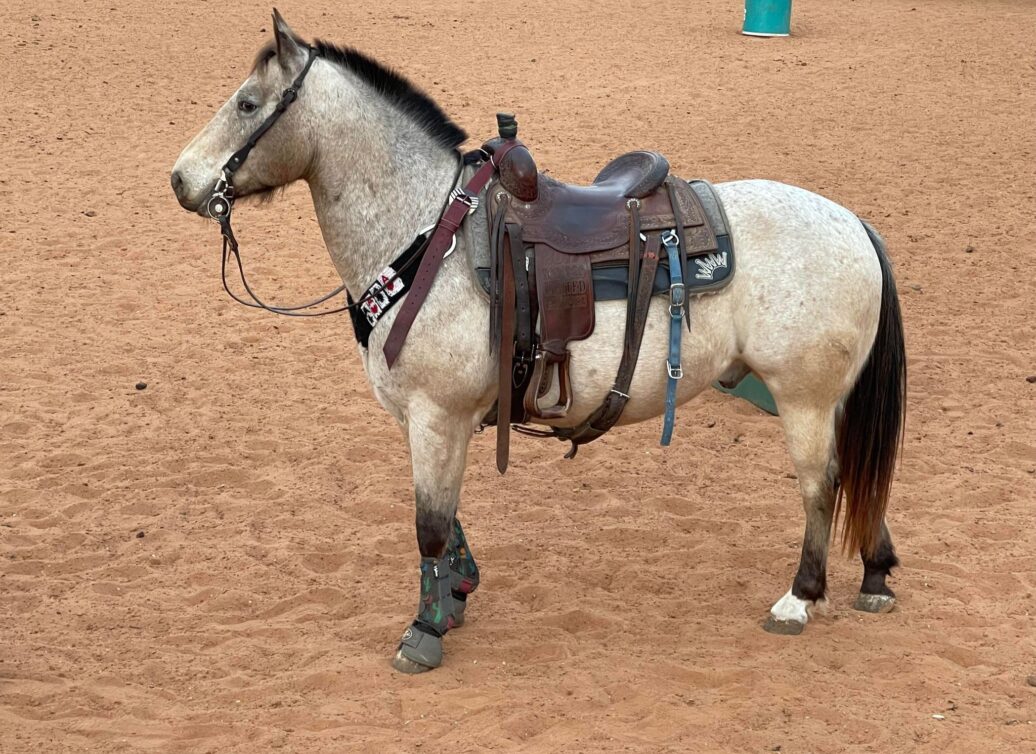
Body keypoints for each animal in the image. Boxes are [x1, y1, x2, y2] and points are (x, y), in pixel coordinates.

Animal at [170, 12, 906, 673]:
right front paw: (454, 598)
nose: (180, 179)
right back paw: (875, 575)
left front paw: (423, 632)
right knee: (857, 475)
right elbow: (447, 513)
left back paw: (800, 598)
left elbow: (429, 523)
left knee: (822, 482)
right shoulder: (431, 420)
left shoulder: (437, 415)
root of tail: (855, 223)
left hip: (803, 397)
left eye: (247, 103)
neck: (425, 236)